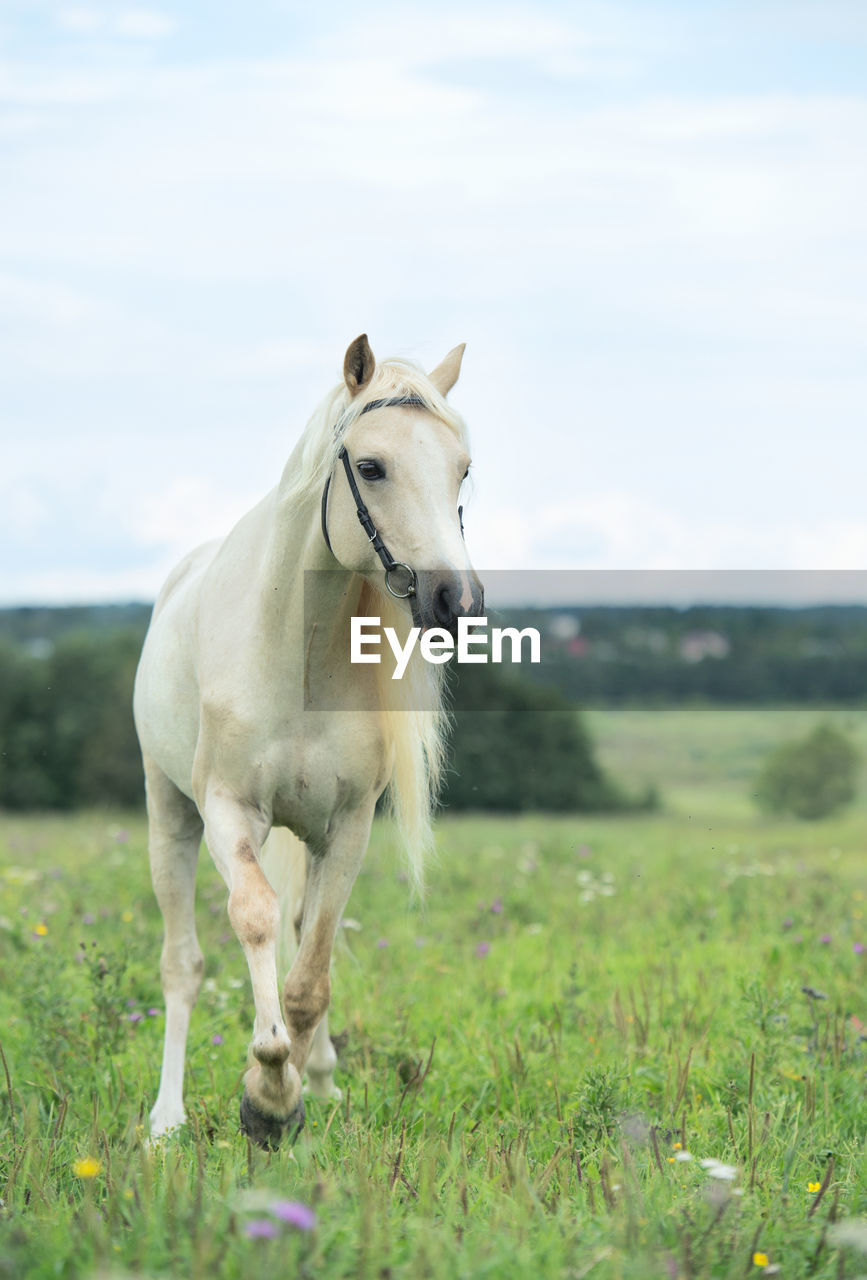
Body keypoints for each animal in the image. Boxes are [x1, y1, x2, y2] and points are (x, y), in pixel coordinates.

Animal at [132, 335, 484, 1146]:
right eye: (371, 466)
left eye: (462, 468)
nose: (455, 600)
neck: (298, 647)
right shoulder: (228, 812)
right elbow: (254, 921)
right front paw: (266, 1084)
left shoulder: (344, 829)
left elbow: (308, 974)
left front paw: (287, 1089)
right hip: (171, 815)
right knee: (183, 962)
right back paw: (167, 1117)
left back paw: (315, 1074)